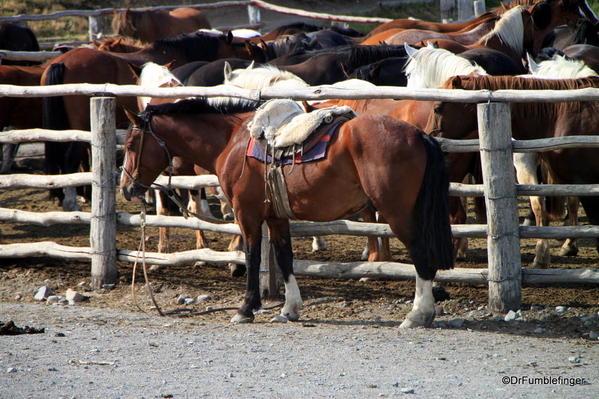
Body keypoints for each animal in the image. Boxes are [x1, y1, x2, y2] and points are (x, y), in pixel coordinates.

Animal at [119, 97, 452, 328]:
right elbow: (284, 257)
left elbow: (253, 257)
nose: (126, 187)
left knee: (421, 254)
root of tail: (419, 136)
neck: (232, 140)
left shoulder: (247, 214)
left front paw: (245, 309)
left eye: (132, 143)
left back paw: (417, 314)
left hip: (398, 213)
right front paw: (289, 309)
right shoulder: (276, 217)